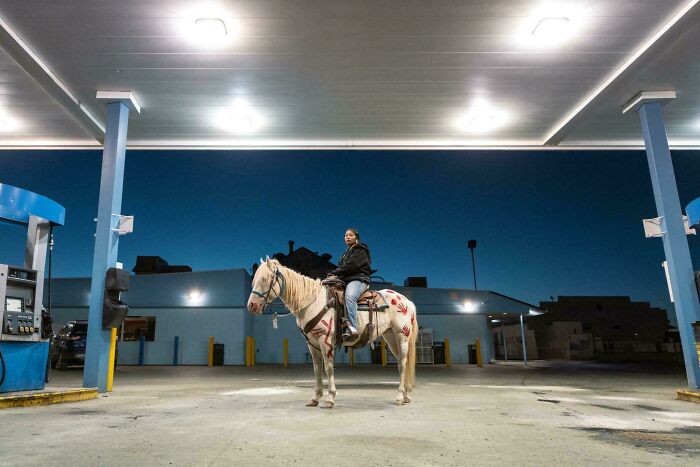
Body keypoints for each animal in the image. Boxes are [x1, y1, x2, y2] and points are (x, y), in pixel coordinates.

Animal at [247, 257, 418, 408]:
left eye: (264, 279)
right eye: (254, 280)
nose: (251, 306)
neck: (313, 302)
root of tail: (406, 301)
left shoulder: (325, 340)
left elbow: (328, 368)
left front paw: (329, 398)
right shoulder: (312, 344)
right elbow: (317, 369)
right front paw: (315, 398)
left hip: (401, 336)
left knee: (403, 364)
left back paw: (399, 397)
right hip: (390, 337)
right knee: (401, 362)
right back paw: (406, 396)